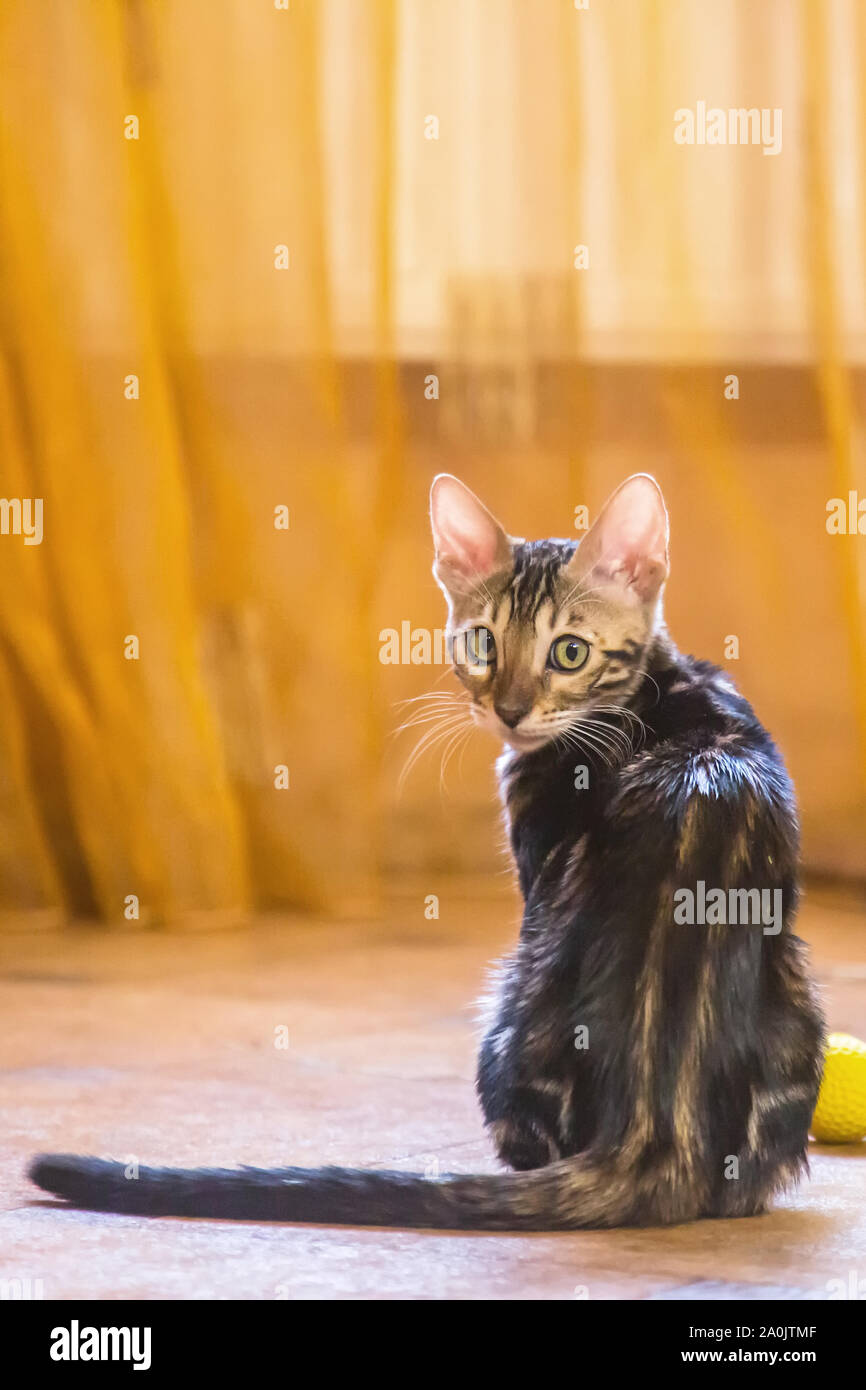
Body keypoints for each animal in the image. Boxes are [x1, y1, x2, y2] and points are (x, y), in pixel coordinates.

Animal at [28, 475, 828, 1228]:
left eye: (569, 652)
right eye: (483, 644)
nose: (509, 710)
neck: (651, 691)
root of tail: (655, 1130)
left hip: (505, 1011)